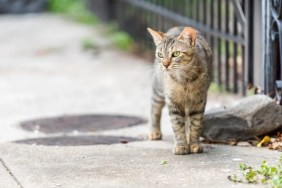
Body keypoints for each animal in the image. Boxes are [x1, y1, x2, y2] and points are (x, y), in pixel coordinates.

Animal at [148, 26, 212, 156]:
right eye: (160, 55)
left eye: (176, 54)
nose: (165, 64)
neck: (184, 80)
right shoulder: (173, 101)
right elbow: (177, 125)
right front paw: (181, 145)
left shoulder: (199, 101)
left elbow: (195, 124)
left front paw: (194, 144)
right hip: (159, 90)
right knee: (154, 108)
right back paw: (155, 131)